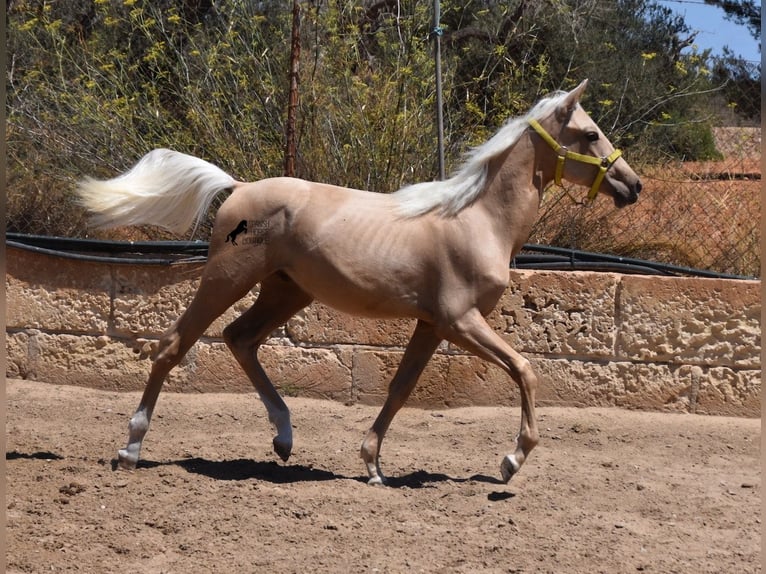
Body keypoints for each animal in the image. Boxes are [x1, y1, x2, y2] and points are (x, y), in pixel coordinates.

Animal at [78, 80, 640, 486]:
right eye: (590, 134)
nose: (632, 185)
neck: (476, 220)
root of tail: (239, 187)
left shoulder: (432, 325)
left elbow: (400, 388)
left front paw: (372, 465)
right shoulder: (460, 321)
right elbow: (525, 370)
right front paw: (510, 461)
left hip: (285, 290)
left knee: (241, 339)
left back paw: (284, 439)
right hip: (227, 278)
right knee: (173, 344)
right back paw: (131, 448)